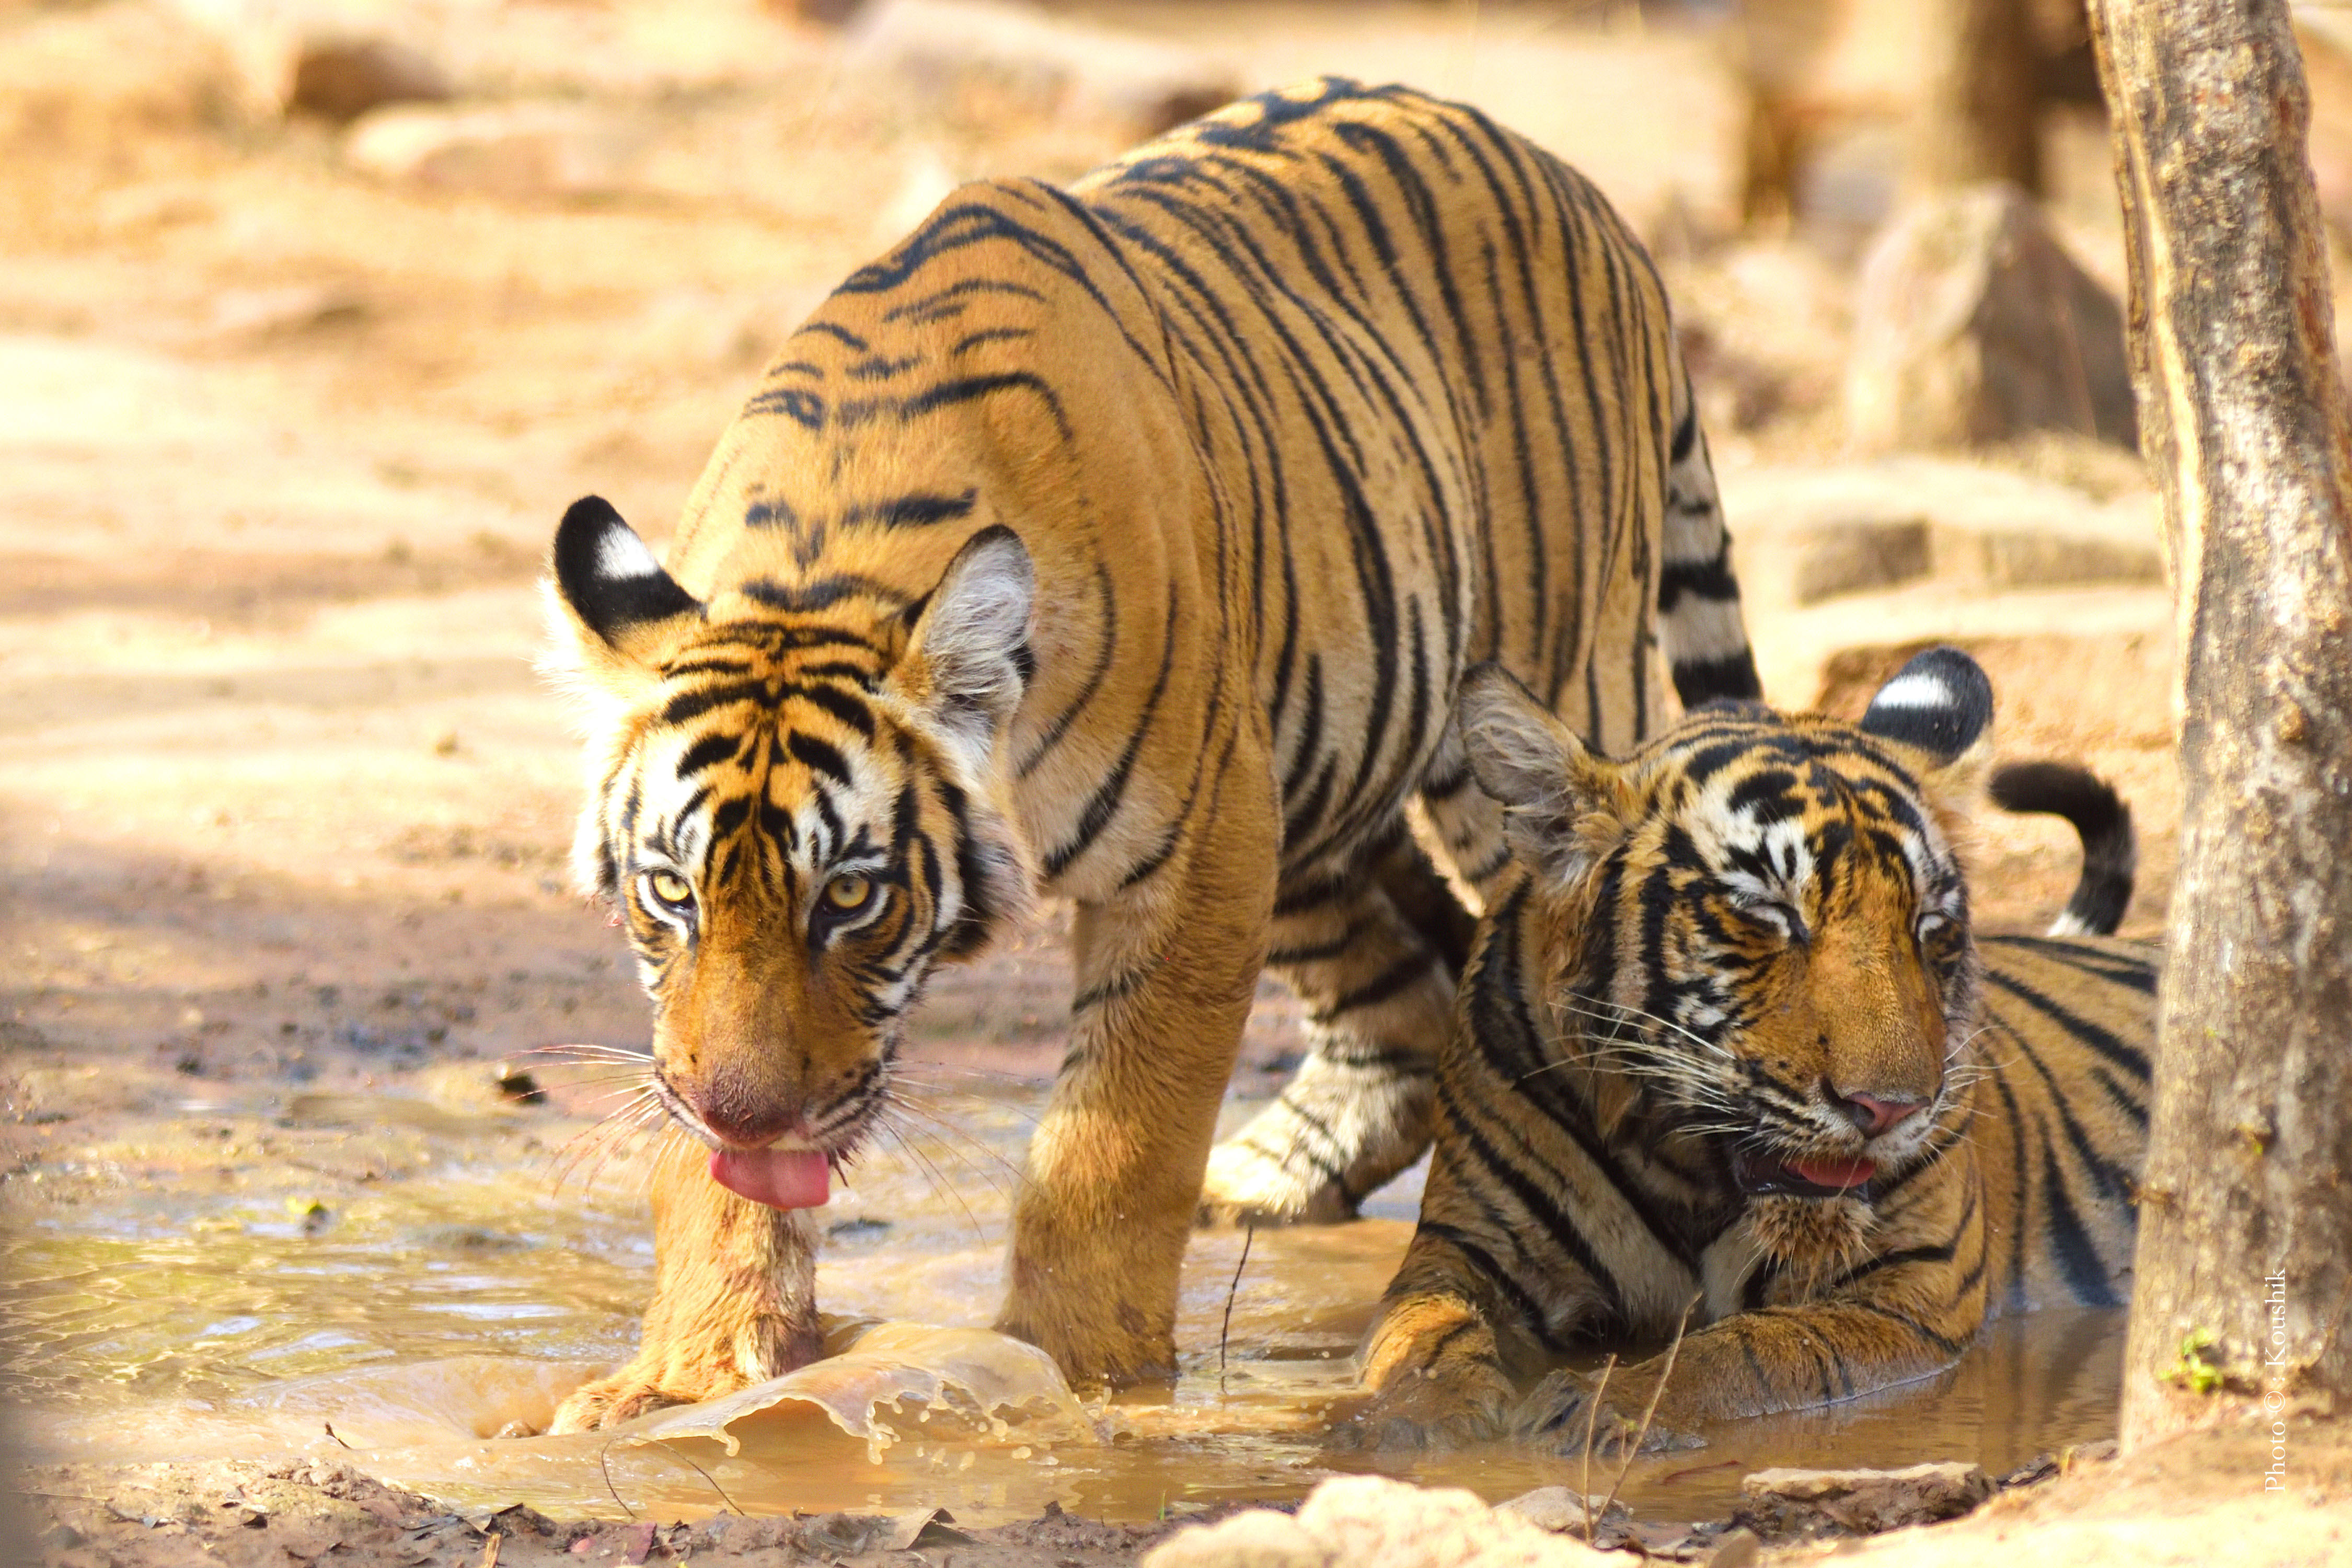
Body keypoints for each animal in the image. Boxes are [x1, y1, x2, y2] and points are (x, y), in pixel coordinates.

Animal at [538, 77, 1762, 1430]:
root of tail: (1577, 184)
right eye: (670, 890)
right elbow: (697, 1165)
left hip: (1520, 734)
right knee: (1408, 1001)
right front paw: (685, 1377)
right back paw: (1268, 1181)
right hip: (1305, 786)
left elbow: (1111, 1145)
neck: (831, 563)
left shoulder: (1192, 855)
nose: (746, 1116)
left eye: (851, 898)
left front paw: (1082, 1383)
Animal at [1350, 646, 2154, 1450]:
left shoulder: (1914, 1288)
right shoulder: (1463, 1248)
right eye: (1769, 913)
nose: (1889, 1110)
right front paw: (1407, 1421)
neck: (1687, 1173)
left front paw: (1601, 1408)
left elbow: (1754, 1351)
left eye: (1928, 924)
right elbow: (1421, 1332)